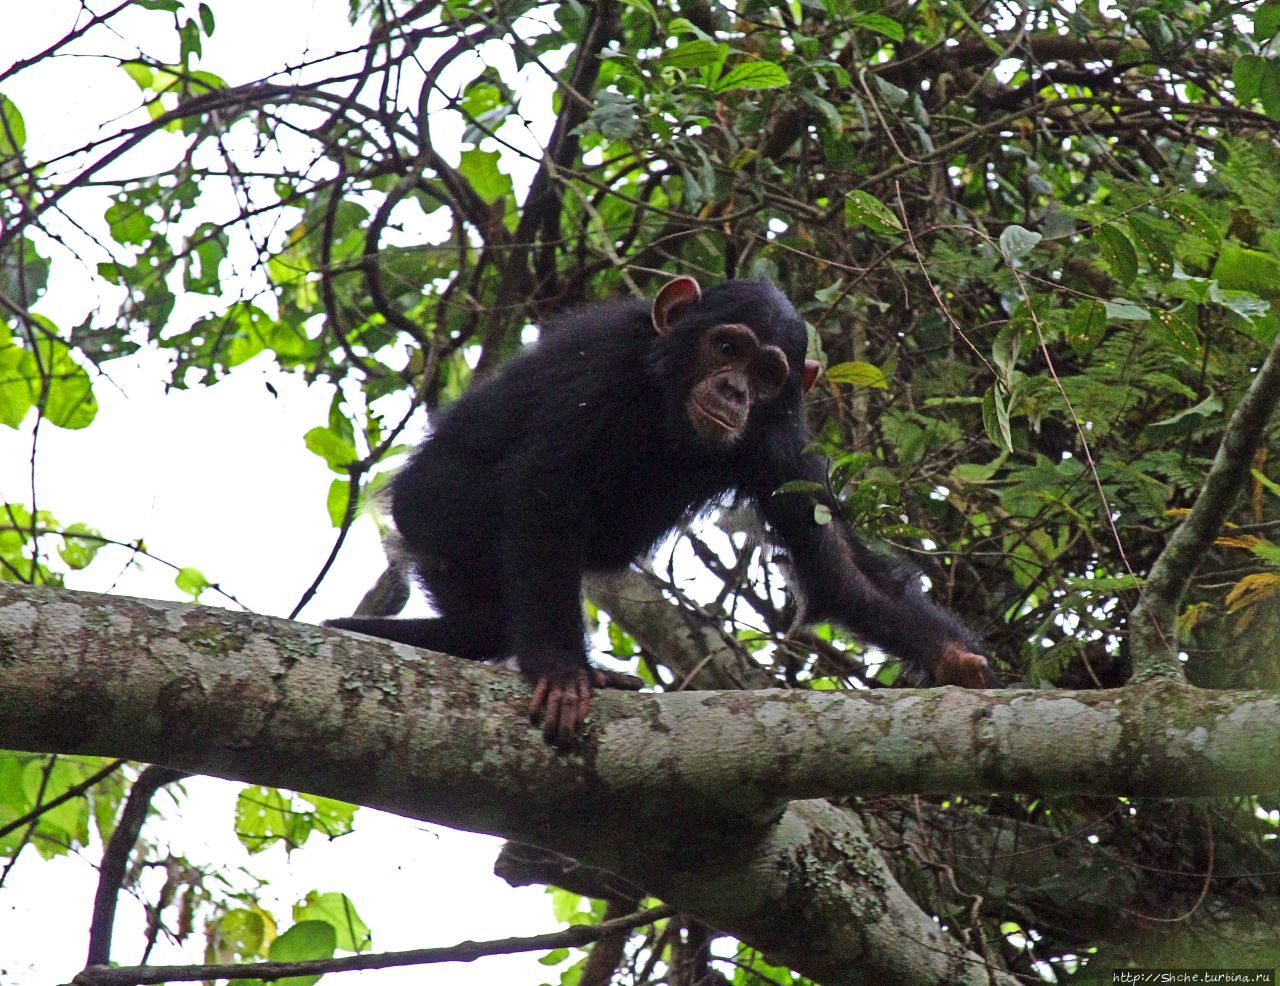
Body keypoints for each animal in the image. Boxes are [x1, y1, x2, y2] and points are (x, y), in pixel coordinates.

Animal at [325, 272, 993, 742]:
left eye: (767, 372)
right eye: (727, 347)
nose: (735, 389)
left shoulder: (783, 441)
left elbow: (833, 565)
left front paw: (956, 660)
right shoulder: (599, 367)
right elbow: (546, 489)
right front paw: (562, 671)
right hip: (437, 512)